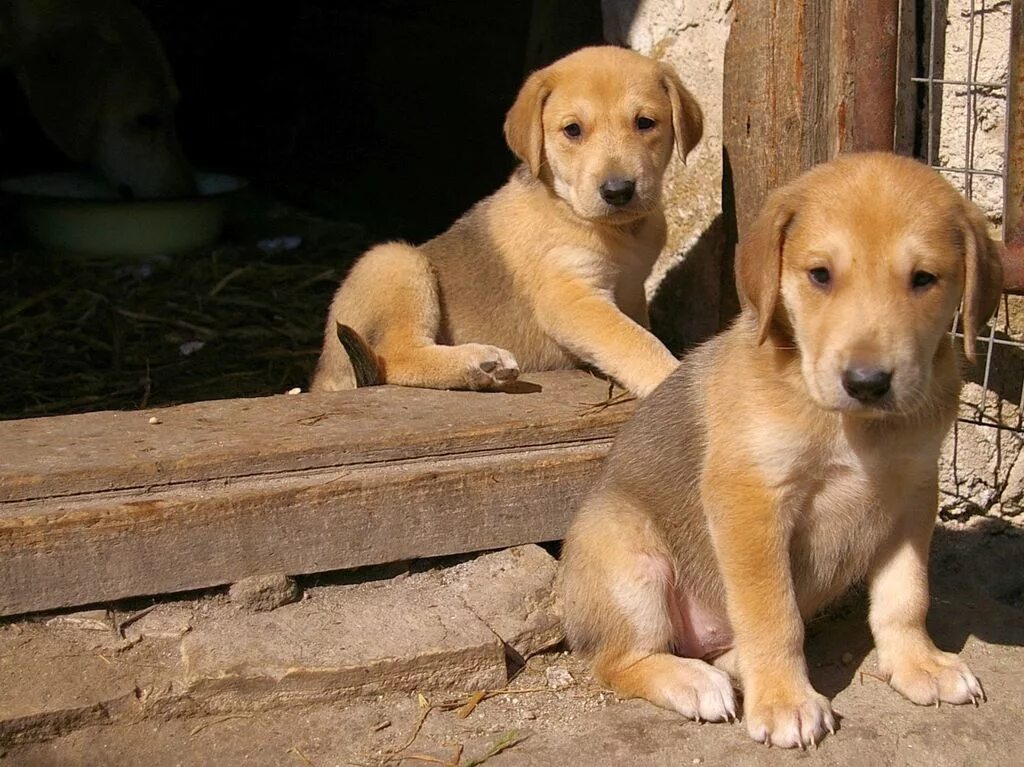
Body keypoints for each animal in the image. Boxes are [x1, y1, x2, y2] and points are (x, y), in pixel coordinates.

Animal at [307, 46, 700, 395]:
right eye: (572, 130)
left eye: (645, 123)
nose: (618, 191)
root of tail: (321, 378)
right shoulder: (571, 297)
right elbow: (636, 342)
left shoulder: (631, 291)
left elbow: (639, 331)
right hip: (394, 260)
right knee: (395, 354)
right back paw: (478, 364)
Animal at [557, 151, 1003, 749]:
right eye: (820, 275)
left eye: (924, 279)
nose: (867, 383)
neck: (854, 427)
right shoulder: (752, 503)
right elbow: (774, 616)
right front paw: (786, 699)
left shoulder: (913, 494)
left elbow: (906, 596)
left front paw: (919, 663)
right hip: (627, 558)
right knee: (618, 660)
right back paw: (693, 680)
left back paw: (733, 668)